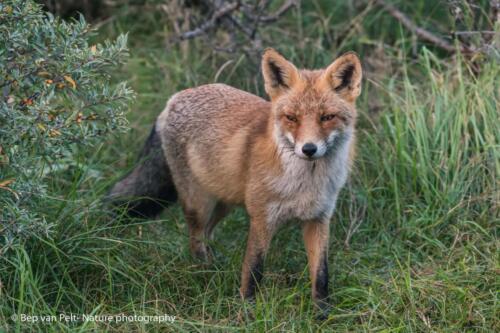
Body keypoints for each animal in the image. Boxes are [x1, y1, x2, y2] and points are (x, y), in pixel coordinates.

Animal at [108, 48, 364, 316]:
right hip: (199, 204)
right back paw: (204, 275)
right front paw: (247, 311)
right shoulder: (262, 218)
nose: (309, 149)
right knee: (195, 240)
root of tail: (175, 98)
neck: (304, 184)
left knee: (207, 235)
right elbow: (253, 270)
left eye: (327, 117)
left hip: (224, 203)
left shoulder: (318, 219)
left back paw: (215, 268)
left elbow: (321, 275)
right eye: (291, 118)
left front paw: (322, 315)